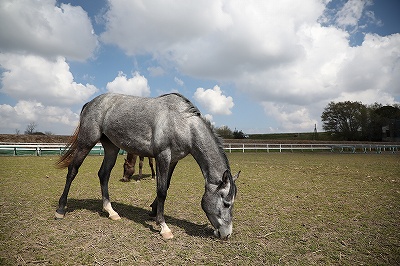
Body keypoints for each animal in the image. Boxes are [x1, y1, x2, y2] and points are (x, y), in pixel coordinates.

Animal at [54, 92, 239, 240]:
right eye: (226, 204)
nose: (226, 234)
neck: (182, 123)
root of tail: (91, 102)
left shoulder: (173, 160)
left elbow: (166, 186)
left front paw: (154, 211)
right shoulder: (163, 156)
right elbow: (162, 190)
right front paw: (163, 227)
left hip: (111, 148)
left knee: (103, 175)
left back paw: (111, 211)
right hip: (86, 142)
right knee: (72, 171)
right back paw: (61, 210)